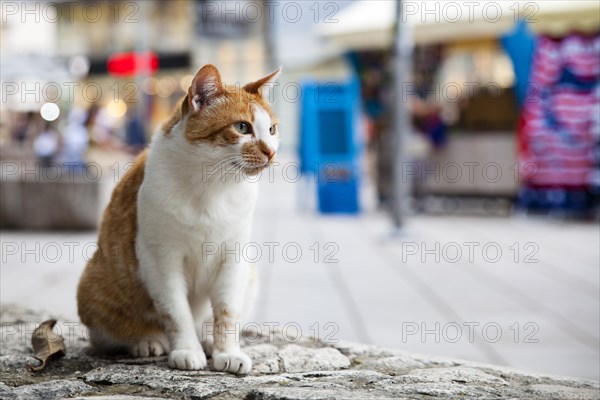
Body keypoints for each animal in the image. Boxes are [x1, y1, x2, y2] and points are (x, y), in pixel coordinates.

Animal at [77, 65, 282, 376]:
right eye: (242, 127)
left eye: (271, 129)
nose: (271, 152)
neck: (213, 188)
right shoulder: (161, 260)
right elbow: (175, 312)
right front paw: (186, 349)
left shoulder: (234, 258)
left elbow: (227, 313)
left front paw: (227, 351)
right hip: (95, 284)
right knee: (108, 335)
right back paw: (146, 340)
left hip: (250, 274)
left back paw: (206, 338)